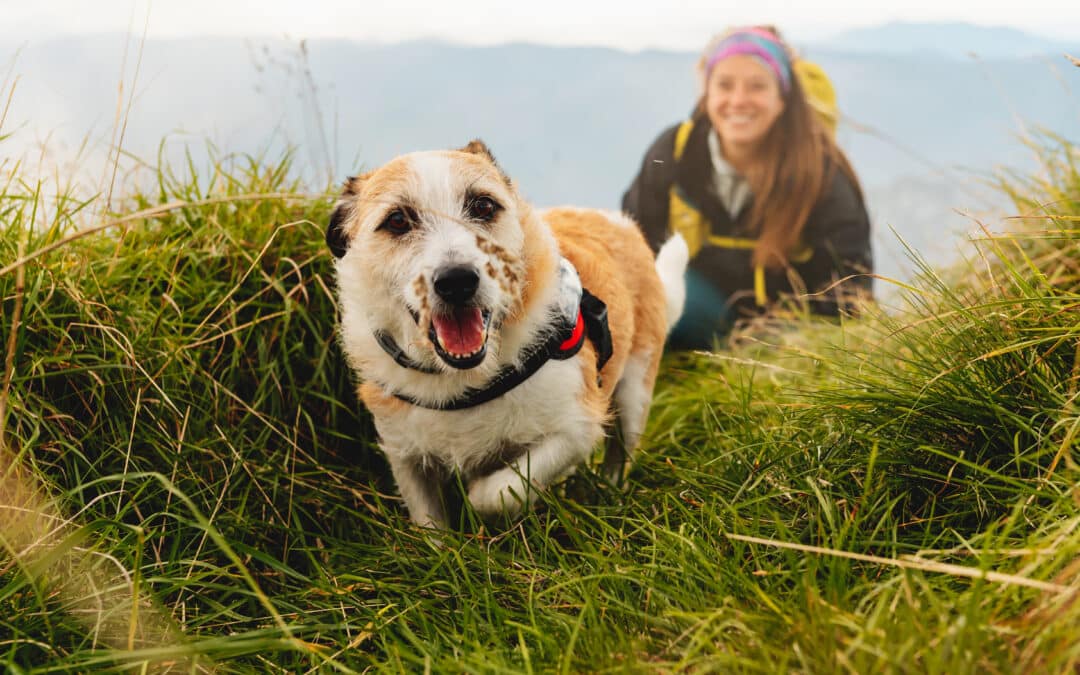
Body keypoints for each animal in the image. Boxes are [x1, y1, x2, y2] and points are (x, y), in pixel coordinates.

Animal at [324, 142, 686, 529]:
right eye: (397, 220)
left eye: (483, 206)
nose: (457, 280)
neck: (463, 381)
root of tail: (615, 221)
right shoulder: (405, 457)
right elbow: (430, 525)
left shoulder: (575, 428)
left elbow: (496, 492)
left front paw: (483, 501)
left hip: (635, 395)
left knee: (621, 455)